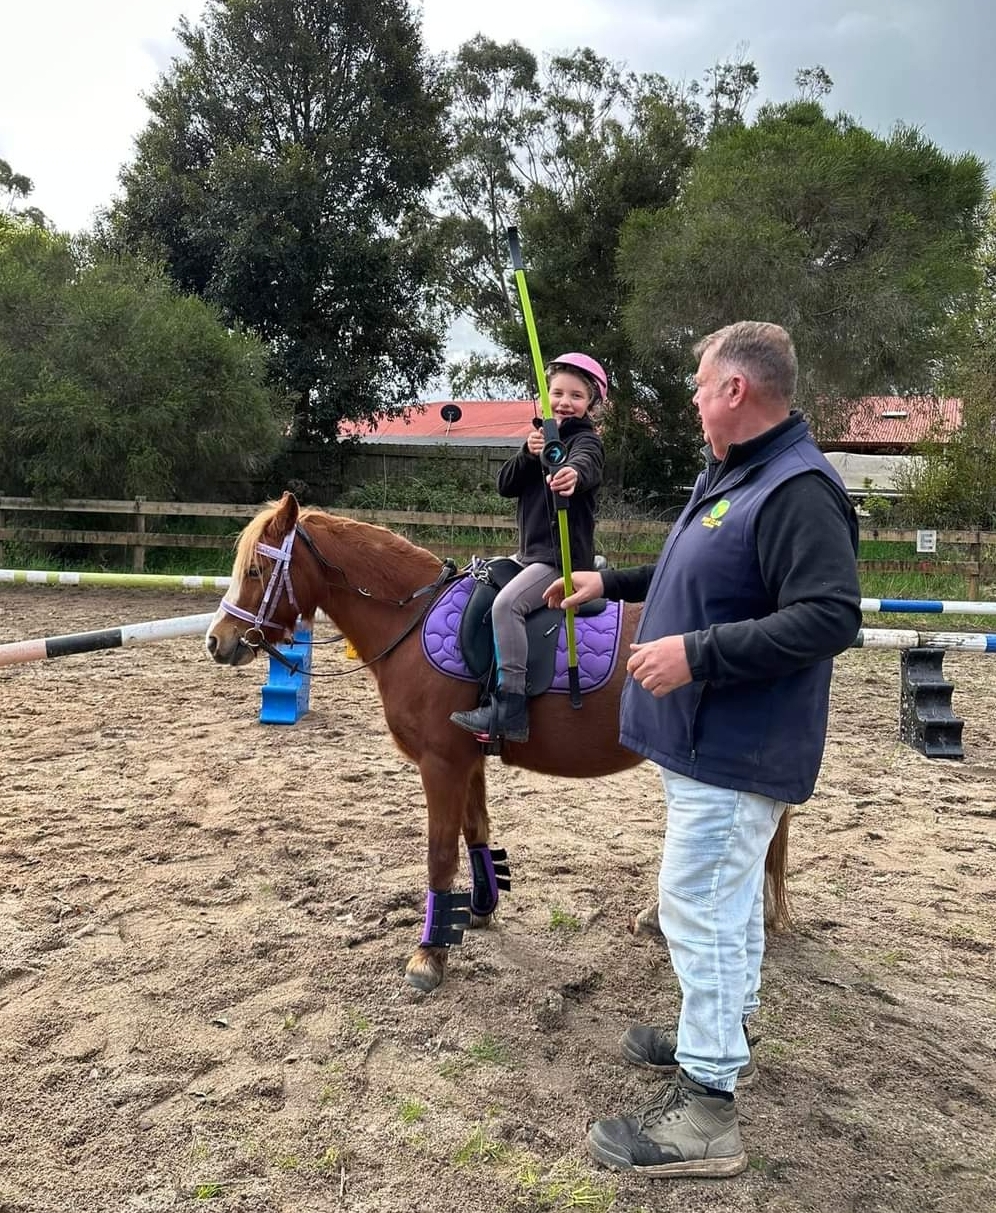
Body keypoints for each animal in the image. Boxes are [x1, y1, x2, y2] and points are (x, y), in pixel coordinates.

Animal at [205, 492, 791, 991]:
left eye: (255, 570)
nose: (218, 641)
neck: (411, 618)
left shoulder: (440, 763)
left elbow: (440, 853)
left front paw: (429, 954)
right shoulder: (467, 759)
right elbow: (476, 831)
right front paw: (480, 909)